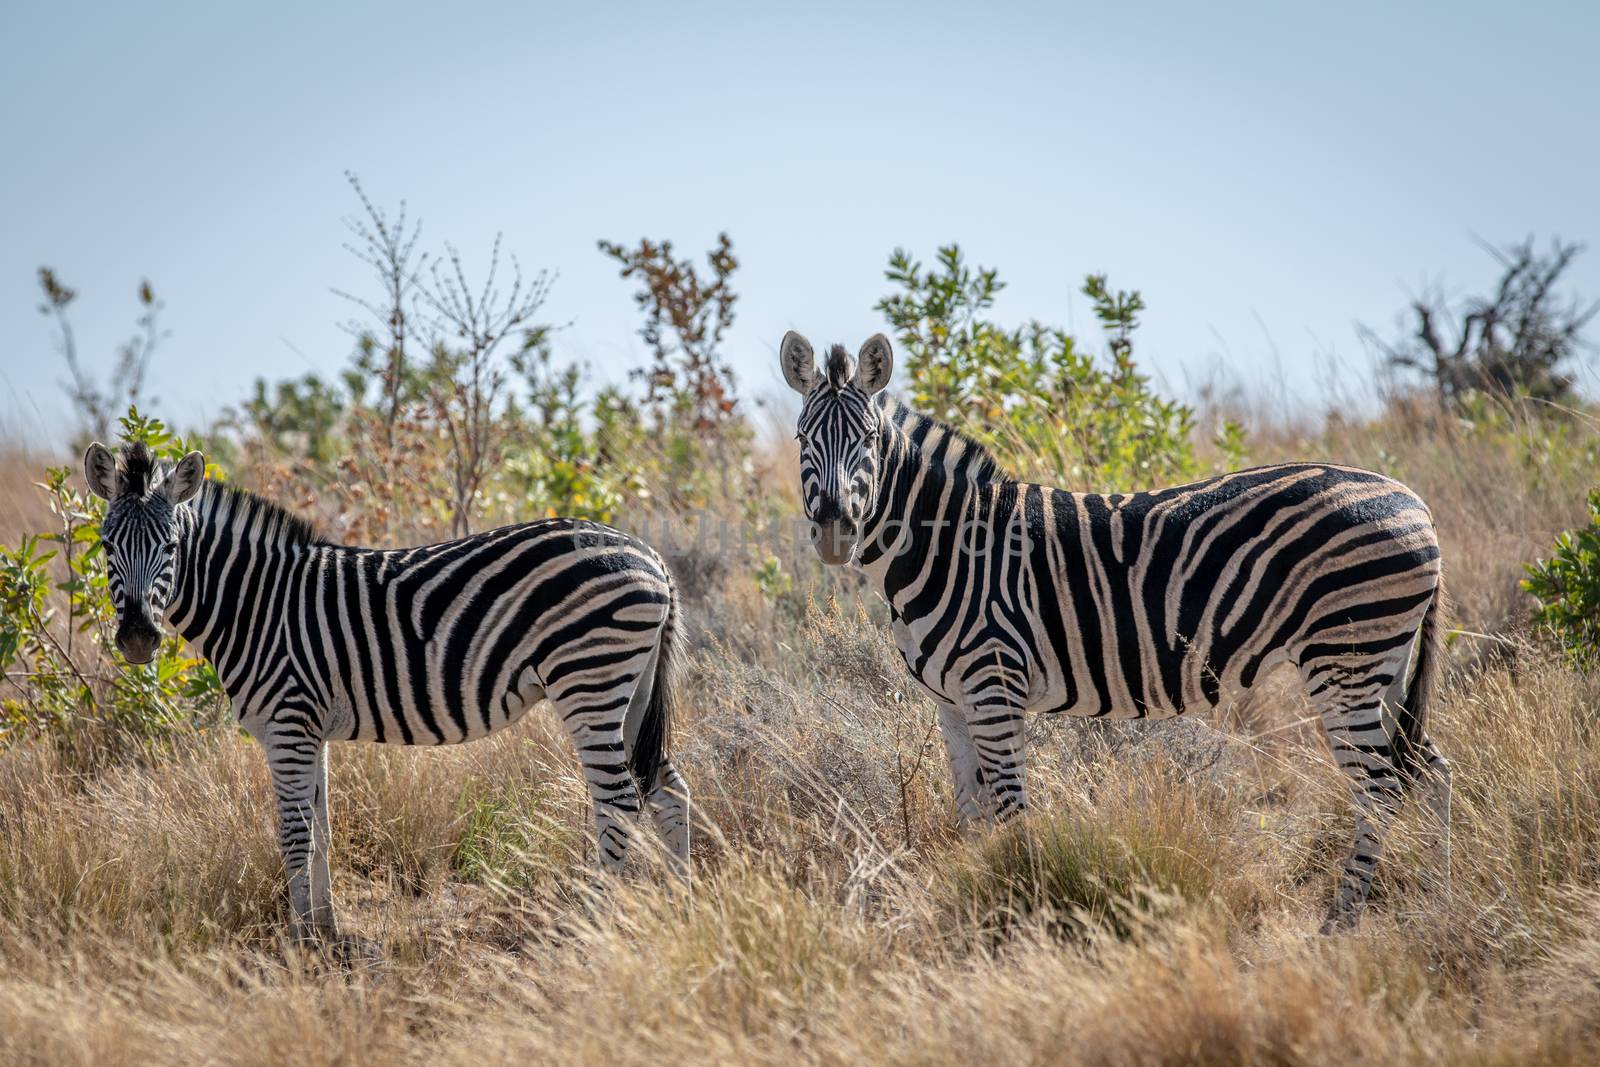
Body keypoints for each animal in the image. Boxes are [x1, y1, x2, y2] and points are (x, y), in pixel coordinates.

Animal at [84, 441, 691, 940]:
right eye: (107, 545)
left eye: (170, 546)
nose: (137, 638)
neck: (255, 604)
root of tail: (651, 555)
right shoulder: (308, 730)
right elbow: (322, 830)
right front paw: (328, 931)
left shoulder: (287, 724)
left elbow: (294, 834)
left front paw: (300, 943)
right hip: (628, 691)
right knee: (668, 789)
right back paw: (679, 904)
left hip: (589, 680)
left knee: (618, 802)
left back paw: (597, 919)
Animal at [780, 331, 1459, 927]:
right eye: (802, 438)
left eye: (869, 440)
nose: (836, 530)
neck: (949, 548)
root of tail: (1415, 501)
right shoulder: (950, 701)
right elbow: (972, 816)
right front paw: (980, 905)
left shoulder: (994, 687)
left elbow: (1011, 812)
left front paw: (1022, 911)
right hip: (1381, 664)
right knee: (1429, 770)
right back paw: (1438, 901)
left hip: (1344, 659)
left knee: (1381, 789)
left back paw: (1342, 924)